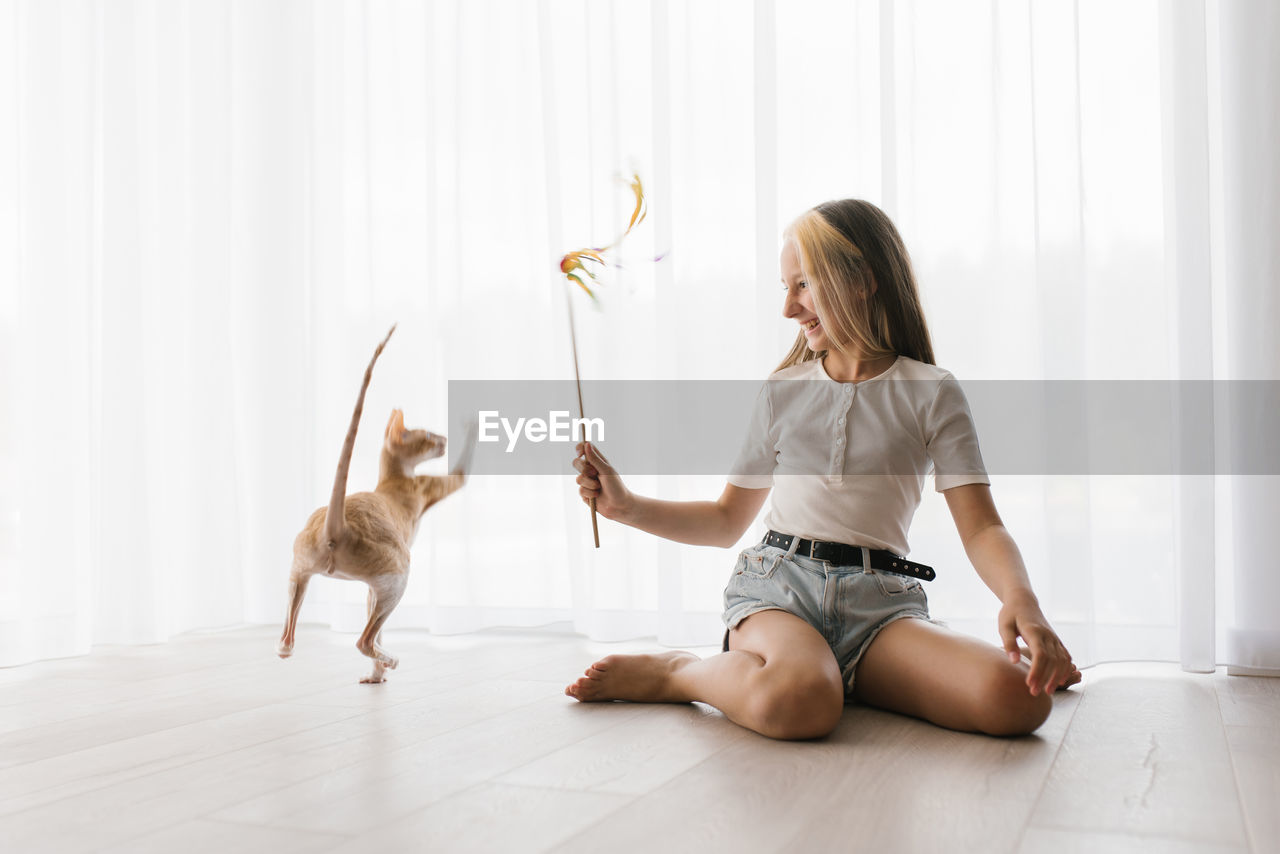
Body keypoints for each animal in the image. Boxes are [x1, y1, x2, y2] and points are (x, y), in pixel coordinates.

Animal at [276, 323, 476, 686]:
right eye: (429, 436)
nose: (443, 440)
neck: (392, 478)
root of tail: (337, 526)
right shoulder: (428, 487)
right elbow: (462, 472)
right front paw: (472, 422)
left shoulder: (370, 586)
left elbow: (371, 611)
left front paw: (374, 674)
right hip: (399, 570)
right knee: (362, 639)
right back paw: (391, 659)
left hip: (300, 571)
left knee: (285, 644)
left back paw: (375, 662)